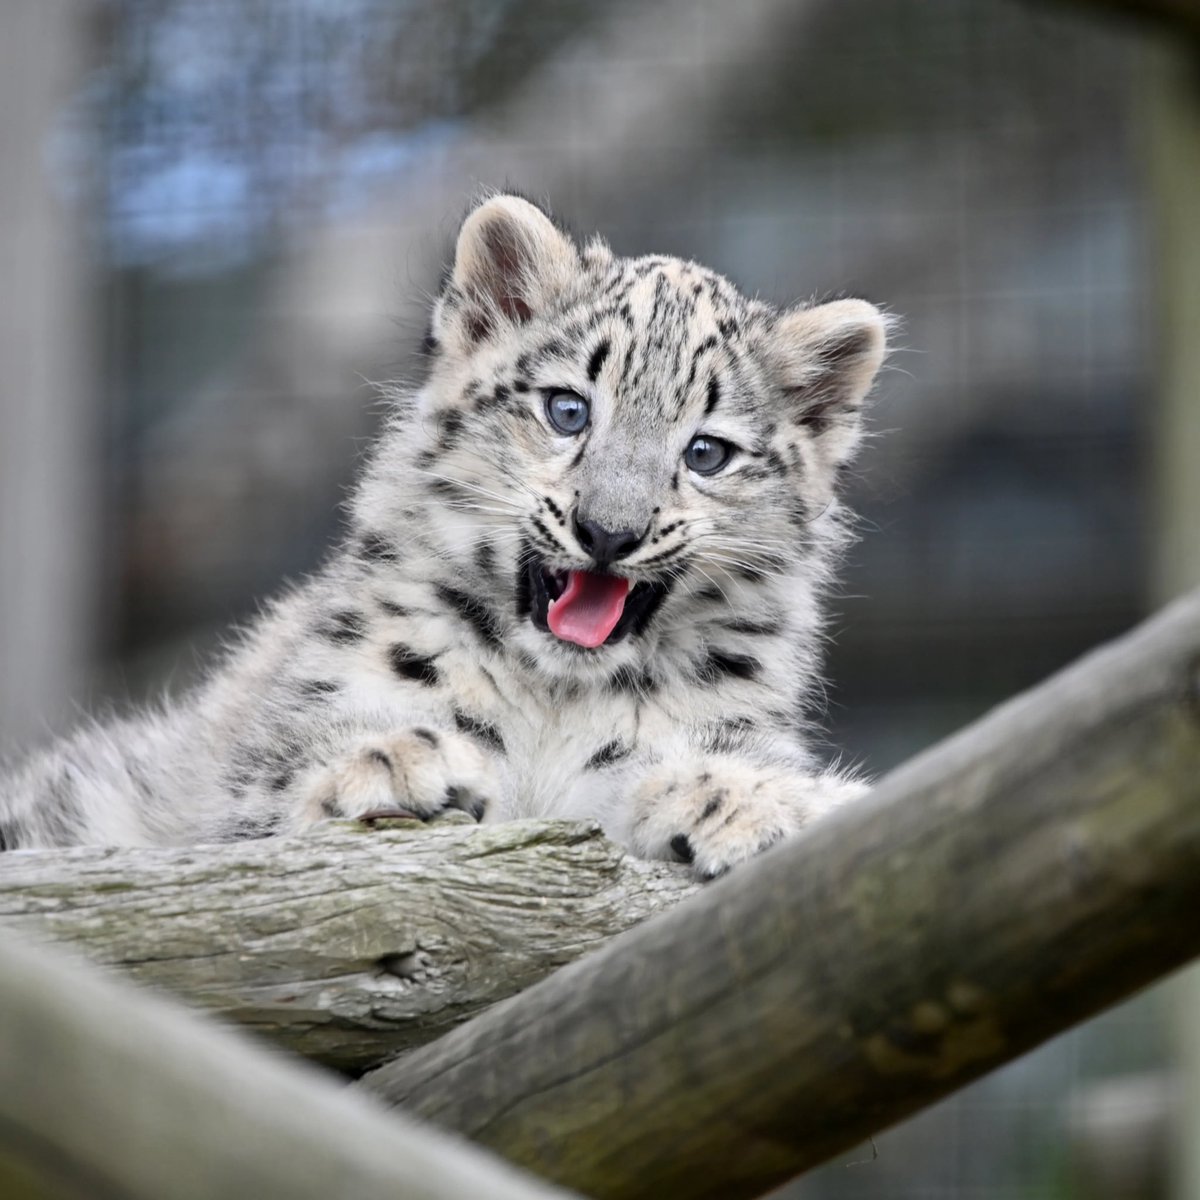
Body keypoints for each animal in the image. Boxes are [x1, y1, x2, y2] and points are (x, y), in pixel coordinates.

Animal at [0, 193, 889, 879]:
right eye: (568, 408)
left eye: (706, 452)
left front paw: (765, 802)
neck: (555, 703)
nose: (609, 531)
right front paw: (397, 760)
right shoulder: (253, 779)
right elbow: (275, 788)